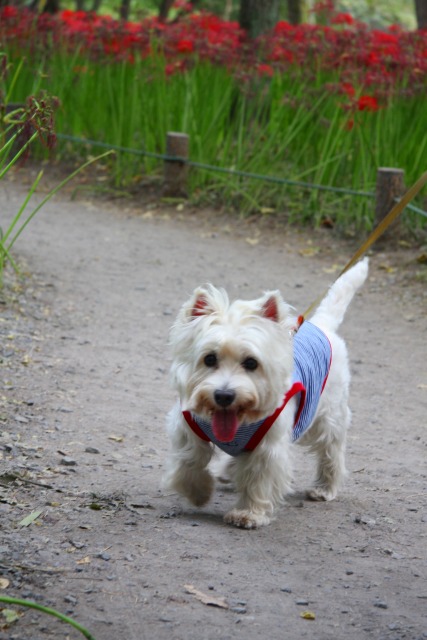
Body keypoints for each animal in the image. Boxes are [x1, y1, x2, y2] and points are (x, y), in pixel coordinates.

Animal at [162, 258, 370, 528]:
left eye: (251, 363)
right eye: (209, 358)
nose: (224, 396)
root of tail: (323, 326)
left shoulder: (268, 446)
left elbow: (259, 479)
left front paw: (248, 514)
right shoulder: (187, 427)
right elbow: (189, 460)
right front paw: (198, 493)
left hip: (328, 415)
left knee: (331, 451)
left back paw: (324, 488)